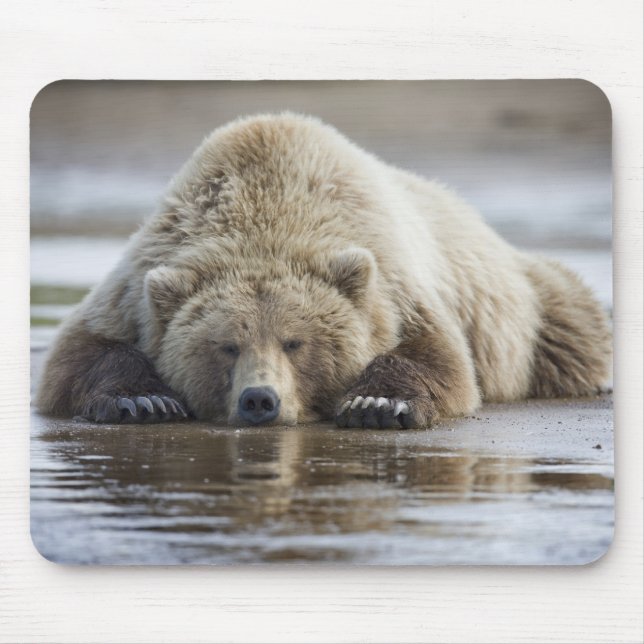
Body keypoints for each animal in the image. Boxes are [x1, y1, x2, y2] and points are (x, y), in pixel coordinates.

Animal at [35, 113, 612, 429]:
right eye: (226, 346)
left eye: (295, 342)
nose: (259, 399)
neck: (267, 207)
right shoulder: (141, 277)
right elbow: (77, 355)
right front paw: (143, 399)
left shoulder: (392, 281)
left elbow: (439, 358)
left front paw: (378, 403)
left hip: (529, 304)